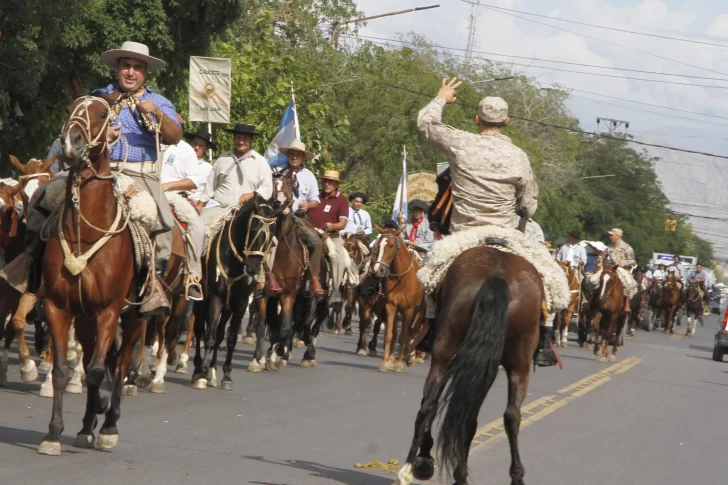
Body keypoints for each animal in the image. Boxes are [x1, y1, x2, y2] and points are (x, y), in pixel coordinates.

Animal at [39, 94, 144, 454]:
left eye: (102, 114)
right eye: (70, 108)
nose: (71, 141)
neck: (84, 231)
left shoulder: (109, 311)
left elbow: (100, 371)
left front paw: (102, 410)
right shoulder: (58, 308)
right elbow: (62, 370)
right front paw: (54, 432)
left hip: (135, 317)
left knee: (121, 363)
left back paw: (109, 424)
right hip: (84, 320)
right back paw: (87, 426)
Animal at [370, 226, 426, 370]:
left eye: (391, 245)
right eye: (378, 245)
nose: (379, 269)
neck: (401, 279)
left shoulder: (409, 309)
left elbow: (404, 335)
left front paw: (399, 364)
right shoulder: (391, 306)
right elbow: (390, 334)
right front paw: (386, 362)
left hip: (419, 312)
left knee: (413, 332)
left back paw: (411, 357)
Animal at [396, 246, 544, 484]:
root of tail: (497, 275)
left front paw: (425, 459)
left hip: (446, 353)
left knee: (430, 404)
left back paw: (411, 467)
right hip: (517, 365)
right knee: (510, 415)